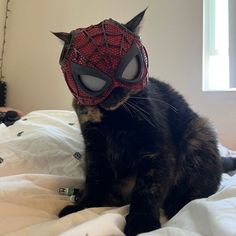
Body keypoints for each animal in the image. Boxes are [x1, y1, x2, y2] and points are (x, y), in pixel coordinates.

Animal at [54, 9, 236, 236]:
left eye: (130, 69)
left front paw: (142, 222)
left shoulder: (156, 148)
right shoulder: (95, 147)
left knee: (200, 190)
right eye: (91, 81)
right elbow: (95, 180)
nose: (116, 92)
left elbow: (148, 188)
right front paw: (82, 206)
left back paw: (177, 205)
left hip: (198, 133)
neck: (115, 118)